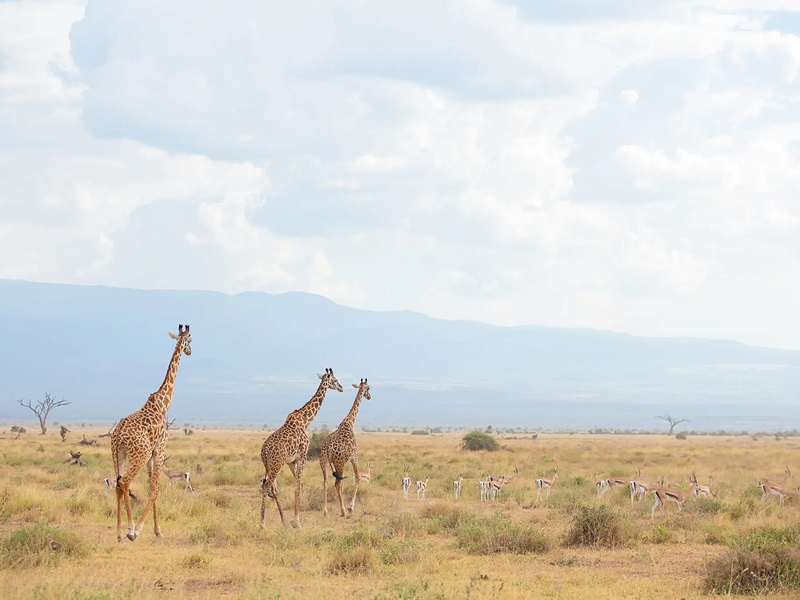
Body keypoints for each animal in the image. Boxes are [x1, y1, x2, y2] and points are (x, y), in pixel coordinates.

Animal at [110, 324, 191, 542]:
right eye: (190, 340)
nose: (189, 351)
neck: (164, 403)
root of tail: (119, 433)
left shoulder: (152, 453)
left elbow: (152, 486)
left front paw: (157, 531)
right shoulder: (159, 448)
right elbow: (155, 490)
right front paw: (140, 529)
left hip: (118, 454)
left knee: (117, 483)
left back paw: (119, 534)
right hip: (139, 455)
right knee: (125, 482)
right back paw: (130, 530)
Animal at [260, 368, 343, 529]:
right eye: (335, 380)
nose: (341, 388)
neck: (305, 421)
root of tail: (264, 452)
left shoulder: (291, 461)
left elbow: (298, 484)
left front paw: (292, 521)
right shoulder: (303, 456)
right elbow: (297, 486)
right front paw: (297, 522)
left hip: (269, 466)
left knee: (272, 488)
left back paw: (282, 521)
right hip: (277, 464)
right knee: (266, 486)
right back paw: (262, 524)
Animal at [319, 378, 371, 517]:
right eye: (369, 388)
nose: (369, 396)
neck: (350, 421)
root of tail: (328, 449)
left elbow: (344, 483)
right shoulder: (354, 456)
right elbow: (357, 477)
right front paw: (350, 507)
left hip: (324, 463)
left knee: (326, 482)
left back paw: (325, 511)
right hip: (339, 463)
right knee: (336, 483)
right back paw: (343, 511)